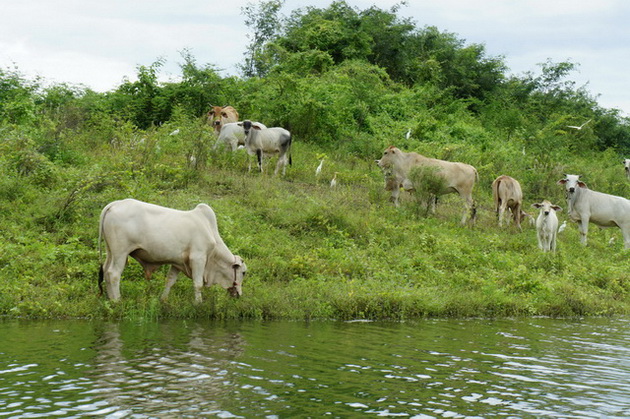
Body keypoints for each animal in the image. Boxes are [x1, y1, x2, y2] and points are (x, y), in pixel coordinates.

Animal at [99, 199, 247, 304]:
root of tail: (115, 204)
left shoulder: (178, 263)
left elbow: (169, 281)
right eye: (244, 272)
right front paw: (198, 304)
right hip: (121, 252)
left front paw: (163, 300)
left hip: (110, 251)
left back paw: (110, 299)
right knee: (113, 274)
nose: (239, 295)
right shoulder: (198, 258)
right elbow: (198, 284)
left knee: (106, 271)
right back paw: (117, 300)